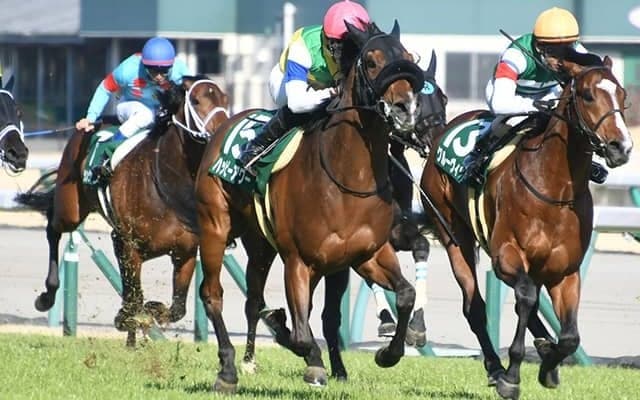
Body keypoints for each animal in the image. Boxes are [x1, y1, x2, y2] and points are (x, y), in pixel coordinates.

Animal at [15, 77, 228, 346]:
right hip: (70, 208)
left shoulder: (185, 252)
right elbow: (134, 300)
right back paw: (47, 296)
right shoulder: (126, 244)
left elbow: (175, 308)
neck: (166, 181)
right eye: (197, 101)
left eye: (225, 100)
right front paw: (126, 319)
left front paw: (148, 315)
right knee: (53, 229)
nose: (222, 131)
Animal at [194, 21, 424, 392]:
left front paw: (387, 354)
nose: (406, 109)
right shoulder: (298, 260)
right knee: (212, 294)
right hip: (214, 226)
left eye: (407, 57)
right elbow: (301, 335)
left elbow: (405, 294)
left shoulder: (366, 254)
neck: (347, 178)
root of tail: (223, 127)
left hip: (261, 246)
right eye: (371, 61)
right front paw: (302, 350)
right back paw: (228, 369)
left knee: (254, 298)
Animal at [420, 54, 632, 399]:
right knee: (476, 306)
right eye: (588, 95)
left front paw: (549, 367)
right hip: (453, 234)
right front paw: (511, 376)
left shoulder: (565, 271)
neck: (554, 188)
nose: (621, 147)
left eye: (623, 96)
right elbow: (525, 299)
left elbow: (569, 336)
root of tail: (444, 129)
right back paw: (496, 367)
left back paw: (544, 348)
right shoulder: (506, 257)